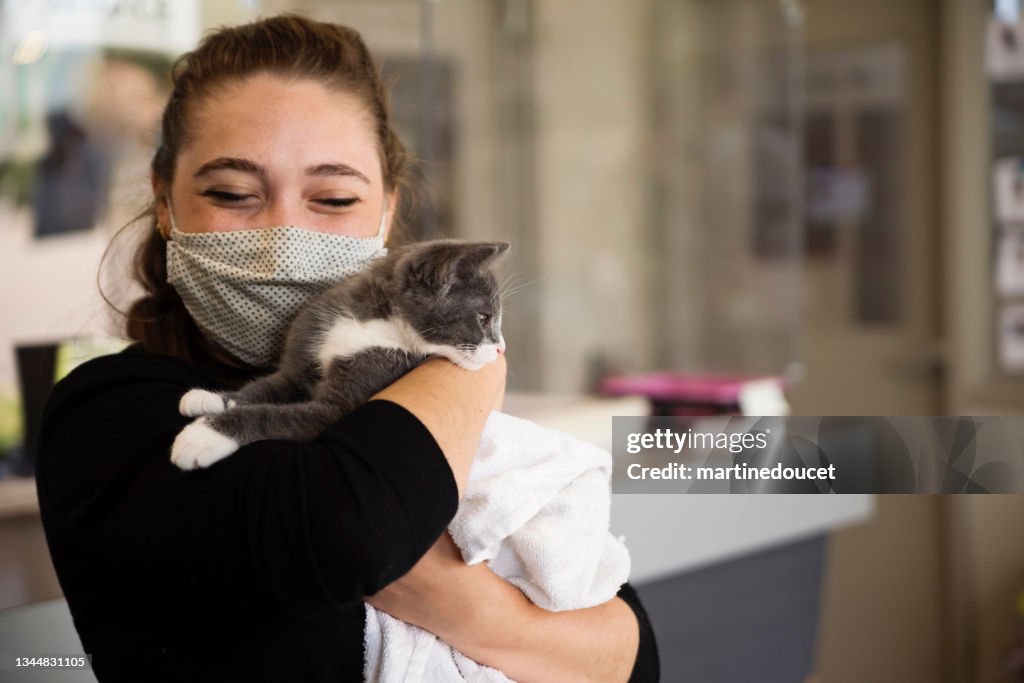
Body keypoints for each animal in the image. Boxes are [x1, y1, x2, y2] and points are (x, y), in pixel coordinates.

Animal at [169, 239, 509, 471]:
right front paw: (211, 397)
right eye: (483, 318)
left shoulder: (341, 404)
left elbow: (276, 414)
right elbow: (268, 386)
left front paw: (202, 436)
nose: (501, 348)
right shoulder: (306, 348)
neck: (373, 321)